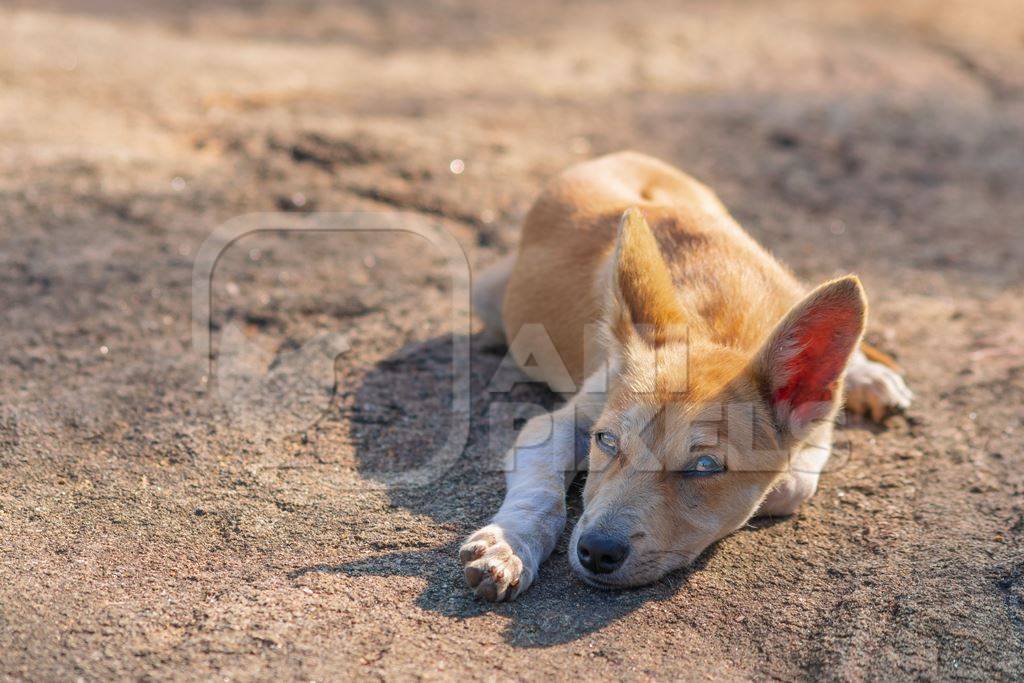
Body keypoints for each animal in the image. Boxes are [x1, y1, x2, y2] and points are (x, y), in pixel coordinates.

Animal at [460, 152, 909, 602]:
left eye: (705, 466)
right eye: (606, 441)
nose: (596, 552)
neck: (721, 328)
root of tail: (620, 155)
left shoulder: (817, 424)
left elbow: (793, 482)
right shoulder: (554, 424)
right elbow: (539, 493)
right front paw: (509, 544)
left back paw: (869, 376)